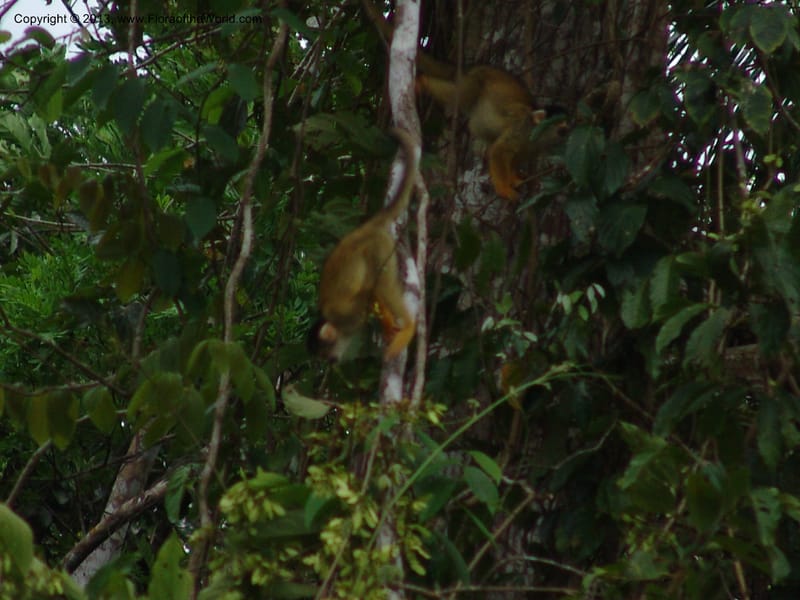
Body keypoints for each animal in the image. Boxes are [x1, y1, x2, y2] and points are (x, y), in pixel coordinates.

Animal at [308, 128, 419, 361]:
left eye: (326, 354)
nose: (331, 362)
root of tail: (363, 230)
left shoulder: (350, 316)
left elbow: (368, 294)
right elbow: (371, 289)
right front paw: (387, 327)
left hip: (380, 247)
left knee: (383, 283)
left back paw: (409, 326)